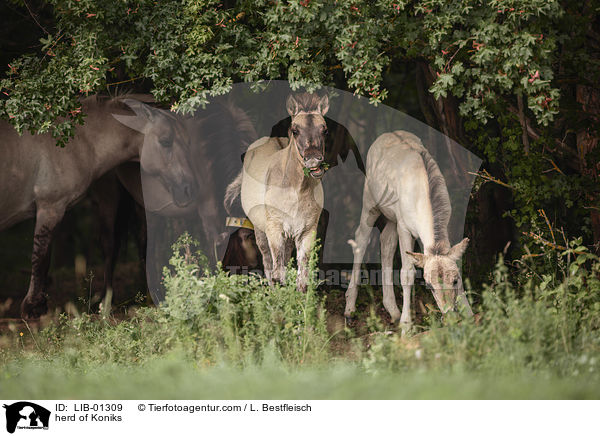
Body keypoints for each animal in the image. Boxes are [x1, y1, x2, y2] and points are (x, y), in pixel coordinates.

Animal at [0, 95, 196, 316]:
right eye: (165, 141)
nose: (189, 189)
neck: (71, 140)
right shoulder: (50, 207)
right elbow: (40, 256)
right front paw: (33, 306)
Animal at [226, 94, 330, 292]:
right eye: (295, 130)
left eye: (324, 130)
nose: (313, 160)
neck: (297, 190)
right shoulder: (275, 230)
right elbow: (276, 273)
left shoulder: (307, 232)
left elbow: (302, 278)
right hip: (260, 230)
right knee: (268, 263)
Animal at [344, 131, 472, 332]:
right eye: (429, 285)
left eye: (455, 281)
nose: (450, 315)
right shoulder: (404, 226)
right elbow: (407, 273)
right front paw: (406, 325)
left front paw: (470, 314)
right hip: (370, 200)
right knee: (361, 239)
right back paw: (349, 310)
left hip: (391, 217)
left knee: (386, 243)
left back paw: (392, 310)